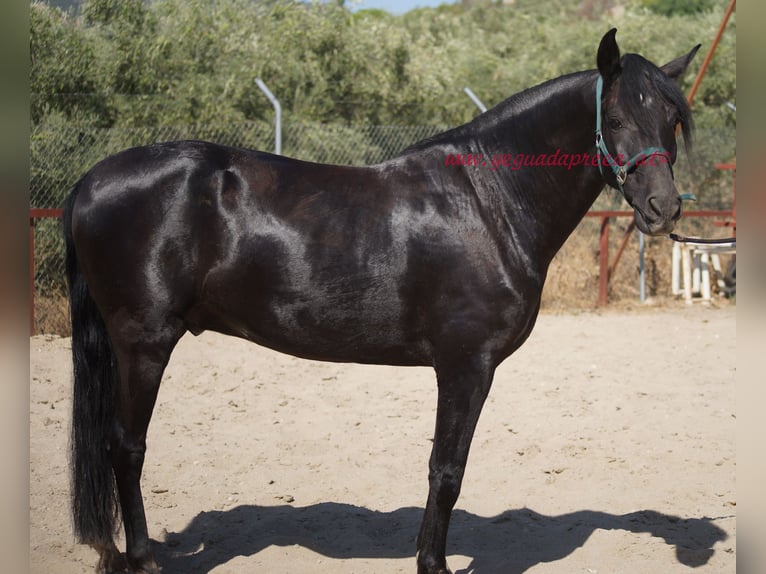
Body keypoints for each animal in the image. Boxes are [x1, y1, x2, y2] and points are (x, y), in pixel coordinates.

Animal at [64, 29, 704, 572]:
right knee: (127, 447)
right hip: (145, 343)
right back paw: (142, 559)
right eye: (614, 117)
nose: (663, 208)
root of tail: (92, 179)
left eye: (672, 118)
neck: (489, 202)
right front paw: (433, 564)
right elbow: (447, 470)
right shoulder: (466, 366)